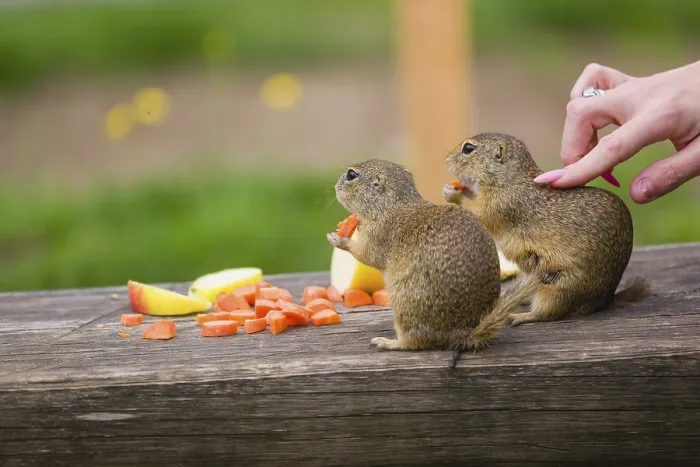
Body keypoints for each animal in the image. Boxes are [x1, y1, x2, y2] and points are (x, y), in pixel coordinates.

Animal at [327, 159, 539, 367]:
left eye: (351, 175)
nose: (335, 187)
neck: (390, 205)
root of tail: (464, 334)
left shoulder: (378, 234)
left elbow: (366, 254)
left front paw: (339, 240)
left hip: (405, 307)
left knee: (415, 342)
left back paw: (388, 343)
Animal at [443, 132, 649, 327]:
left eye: (468, 148)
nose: (446, 159)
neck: (510, 180)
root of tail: (607, 299)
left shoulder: (500, 207)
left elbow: (475, 211)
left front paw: (453, 194)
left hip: (558, 287)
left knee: (547, 313)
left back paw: (518, 316)